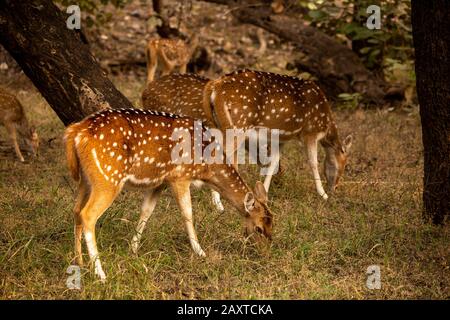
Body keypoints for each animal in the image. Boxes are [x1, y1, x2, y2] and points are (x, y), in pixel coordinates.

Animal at [64, 107, 272, 280]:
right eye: (258, 228)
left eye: (273, 224)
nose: (265, 252)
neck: (206, 166)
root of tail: (76, 132)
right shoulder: (179, 176)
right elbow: (187, 214)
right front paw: (200, 252)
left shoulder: (159, 183)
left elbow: (146, 212)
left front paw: (133, 249)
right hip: (108, 177)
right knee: (88, 214)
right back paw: (100, 273)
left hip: (86, 180)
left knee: (76, 211)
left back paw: (79, 262)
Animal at [202, 70, 354, 200]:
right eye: (345, 164)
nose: (335, 188)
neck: (326, 123)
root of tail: (215, 86)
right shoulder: (310, 132)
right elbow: (313, 163)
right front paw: (323, 195)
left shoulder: (281, 139)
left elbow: (273, 162)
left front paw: (264, 193)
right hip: (238, 125)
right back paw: (217, 203)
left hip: (219, 125)